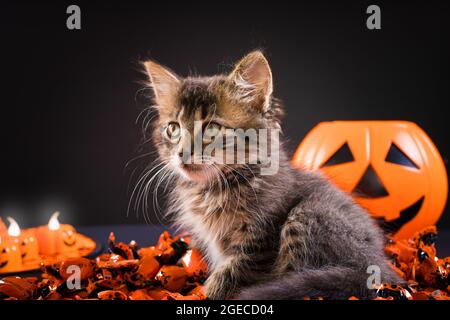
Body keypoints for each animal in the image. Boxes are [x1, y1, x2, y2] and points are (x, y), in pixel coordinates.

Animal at [141, 51, 400, 298]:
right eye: (173, 129)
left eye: (212, 128)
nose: (182, 153)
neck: (217, 186)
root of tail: (378, 265)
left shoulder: (259, 242)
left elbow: (232, 272)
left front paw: (210, 292)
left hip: (308, 215)